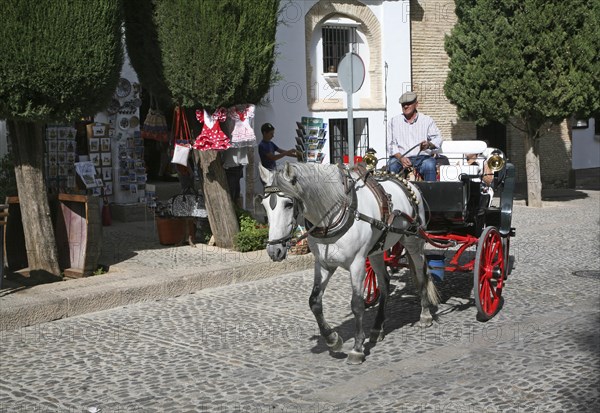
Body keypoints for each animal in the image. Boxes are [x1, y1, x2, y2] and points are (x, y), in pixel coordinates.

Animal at [258, 163, 436, 362]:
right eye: (264, 205)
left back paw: (425, 315)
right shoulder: (324, 264)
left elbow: (357, 304)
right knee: (384, 283)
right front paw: (332, 339)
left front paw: (357, 348)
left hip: (413, 240)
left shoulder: (357, 263)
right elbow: (314, 301)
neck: (334, 215)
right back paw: (377, 328)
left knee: (420, 274)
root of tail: (408, 182)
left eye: (288, 204)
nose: (274, 250)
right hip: (376, 251)